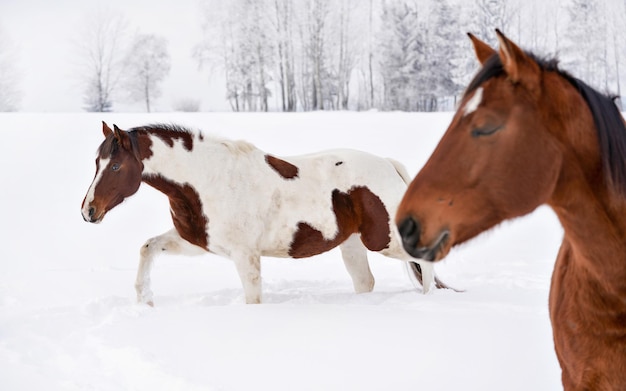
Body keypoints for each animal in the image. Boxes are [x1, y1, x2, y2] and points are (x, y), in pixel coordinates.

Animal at [81, 122, 444, 306]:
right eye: (96, 162)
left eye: (115, 165)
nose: (88, 211)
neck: (207, 179)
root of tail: (388, 164)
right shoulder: (197, 243)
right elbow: (147, 246)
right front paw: (145, 300)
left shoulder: (246, 256)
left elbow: (253, 297)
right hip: (353, 244)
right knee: (365, 281)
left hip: (383, 240)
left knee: (425, 265)